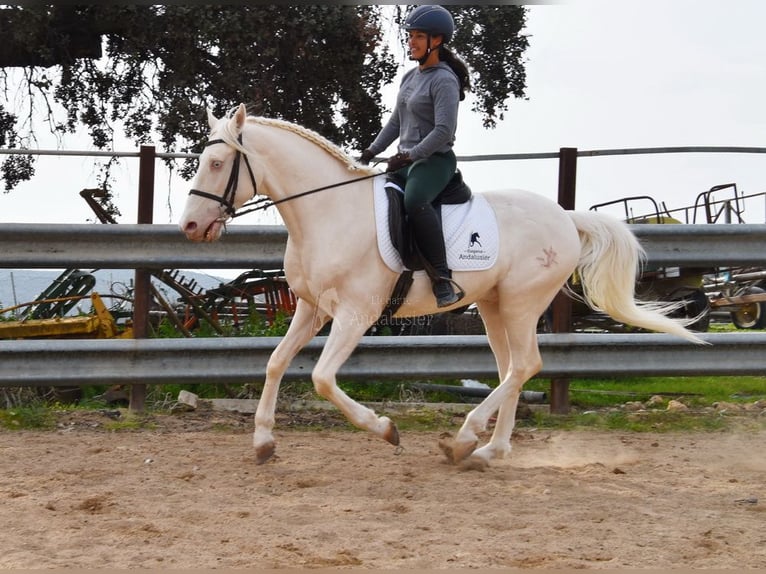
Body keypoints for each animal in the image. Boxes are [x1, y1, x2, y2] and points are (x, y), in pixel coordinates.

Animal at [180, 104, 708, 472]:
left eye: (218, 162)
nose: (189, 225)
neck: (329, 213)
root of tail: (564, 217)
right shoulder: (311, 309)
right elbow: (274, 364)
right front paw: (264, 443)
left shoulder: (355, 315)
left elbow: (323, 379)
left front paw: (386, 429)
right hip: (495, 307)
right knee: (513, 368)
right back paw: (489, 450)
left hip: (522, 303)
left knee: (526, 365)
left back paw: (466, 439)